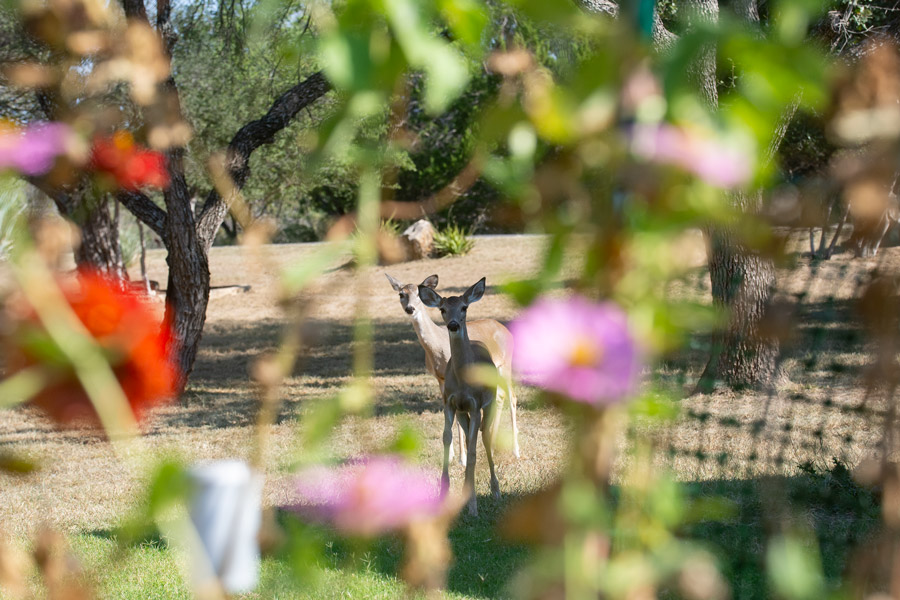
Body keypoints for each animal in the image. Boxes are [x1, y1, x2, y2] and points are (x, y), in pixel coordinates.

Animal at [385, 273, 520, 468]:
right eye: (401, 294)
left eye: (417, 294)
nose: (410, 309)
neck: (437, 349)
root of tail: (506, 330)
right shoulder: (440, 379)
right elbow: (447, 412)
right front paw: (450, 456)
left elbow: (458, 418)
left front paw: (462, 458)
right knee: (500, 396)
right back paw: (493, 445)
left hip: (506, 364)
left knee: (512, 397)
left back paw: (516, 450)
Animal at [418, 277, 501, 516]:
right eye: (443, 309)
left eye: (464, 307)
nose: (453, 324)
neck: (464, 382)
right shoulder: (449, 402)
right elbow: (447, 439)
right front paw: (443, 494)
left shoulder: (475, 404)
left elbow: (472, 452)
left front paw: (473, 506)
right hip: (464, 414)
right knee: (470, 435)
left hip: (489, 404)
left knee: (485, 438)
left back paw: (495, 490)